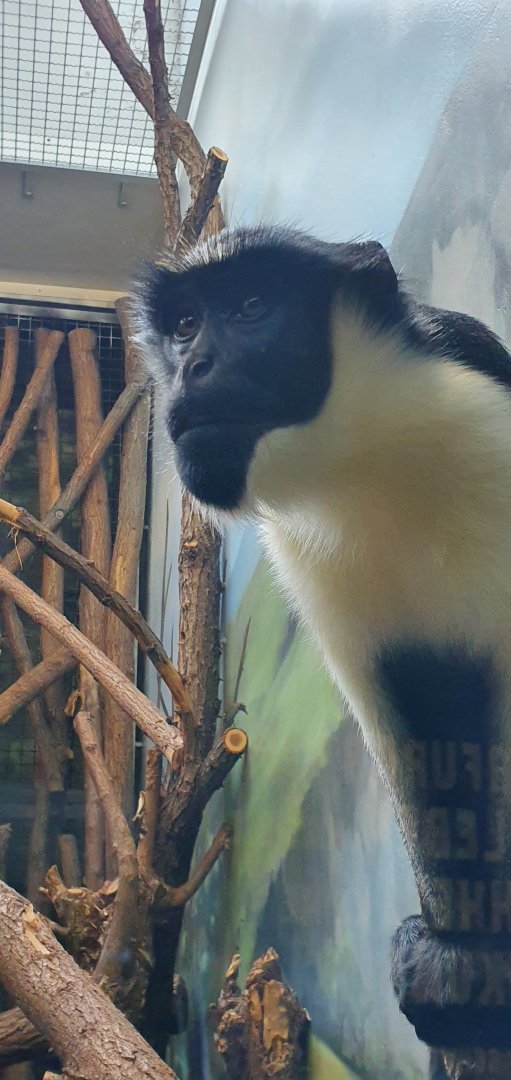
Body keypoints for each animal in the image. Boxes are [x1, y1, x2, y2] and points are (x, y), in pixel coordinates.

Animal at [133, 226, 511, 1063]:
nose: (192, 369)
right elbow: (413, 719)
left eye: (250, 305)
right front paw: (457, 960)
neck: (373, 453)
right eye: (184, 327)